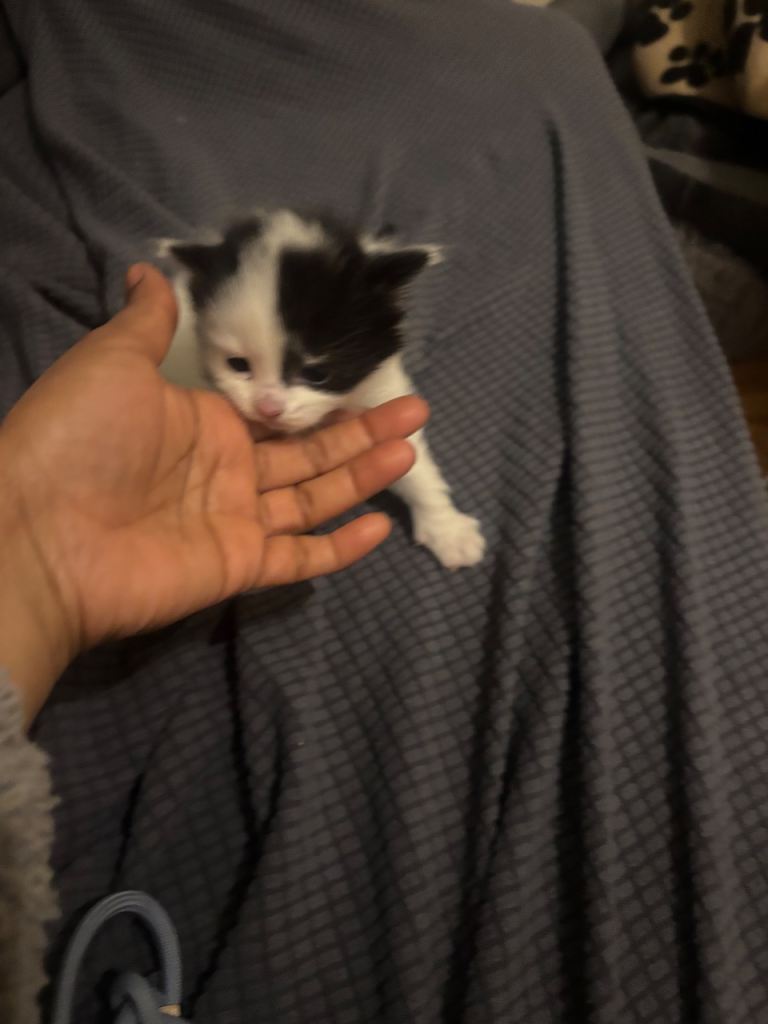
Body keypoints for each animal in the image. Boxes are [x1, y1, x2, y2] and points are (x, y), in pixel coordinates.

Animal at [157, 208, 485, 570]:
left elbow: (414, 464)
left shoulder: (383, 392)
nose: (268, 409)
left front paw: (448, 529)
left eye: (316, 373)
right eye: (238, 365)